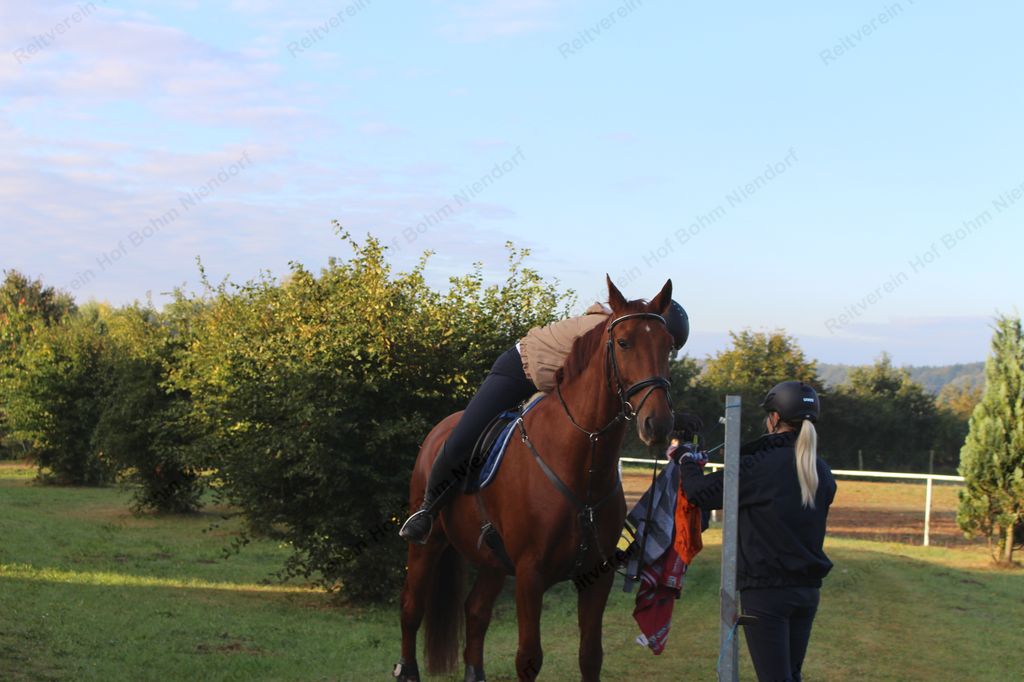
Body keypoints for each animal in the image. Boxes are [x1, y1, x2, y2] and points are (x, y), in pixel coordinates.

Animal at [395, 277, 676, 682]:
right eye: (624, 343)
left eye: (668, 346)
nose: (659, 424)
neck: (582, 463)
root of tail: (438, 431)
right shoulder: (530, 575)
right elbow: (529, 658)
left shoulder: (597, 575)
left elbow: (590, 655)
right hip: (427, 545)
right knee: (411, 608)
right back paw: (406, 668)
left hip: (493, 560)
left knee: (475, 612)